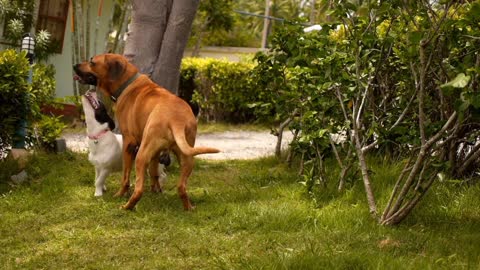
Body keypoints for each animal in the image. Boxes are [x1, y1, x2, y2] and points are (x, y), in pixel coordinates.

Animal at [73, 53, 221, 210]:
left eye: (92, 62)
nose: (74, 66)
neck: (127, 83)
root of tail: (176, 120)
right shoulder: (155, 152)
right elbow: (154, 172)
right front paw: (156, 192)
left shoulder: (129, 142)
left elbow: (125, 176)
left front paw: (120, 194)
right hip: (187, 157)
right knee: (181, 187)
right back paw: (189, 208)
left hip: (141, 155)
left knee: (138, 190)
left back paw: (126, 207)